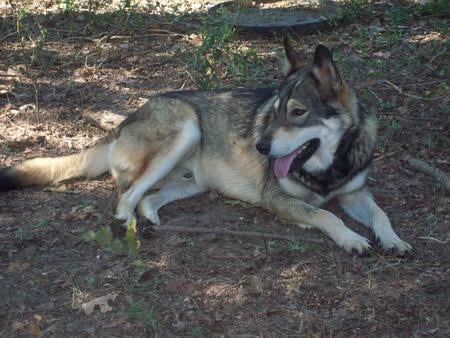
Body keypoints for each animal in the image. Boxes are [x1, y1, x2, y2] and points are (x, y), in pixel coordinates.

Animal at [0, 39, 412, 254]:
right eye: (275, 110)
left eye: (297, 112)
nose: (260, 146)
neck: (328, 169)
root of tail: (122, 123)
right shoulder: (277, 199)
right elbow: (325, 216)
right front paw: (352, 238)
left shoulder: (355, 193)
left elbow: (381, 214)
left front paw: (393, 239)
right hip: (186, 127)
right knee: (124, 198)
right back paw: (131, 226)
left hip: (192, 181)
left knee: (147, 198)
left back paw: (153, 219)